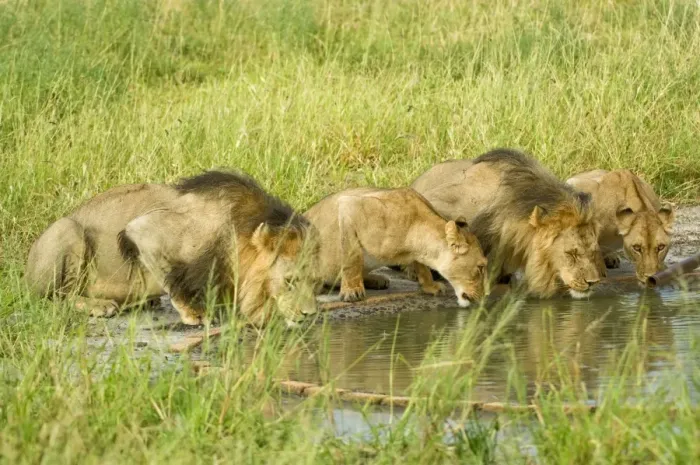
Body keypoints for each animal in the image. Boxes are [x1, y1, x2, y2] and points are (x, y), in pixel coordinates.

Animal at [26, 171, 319, 326]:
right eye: (290, 280)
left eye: (313, 281)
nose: (311, 315)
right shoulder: (145, 230)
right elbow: (172, 278)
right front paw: (195, 314)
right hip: (68, 229)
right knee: (57, 297)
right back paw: (99, 306)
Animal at [304, 187, 487, 307]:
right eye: (480, 267)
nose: (484, 296)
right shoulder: (350, 206)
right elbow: (352, 257)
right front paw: (352, 291)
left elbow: (422, 267)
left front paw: (430, 286)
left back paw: (377, 279)